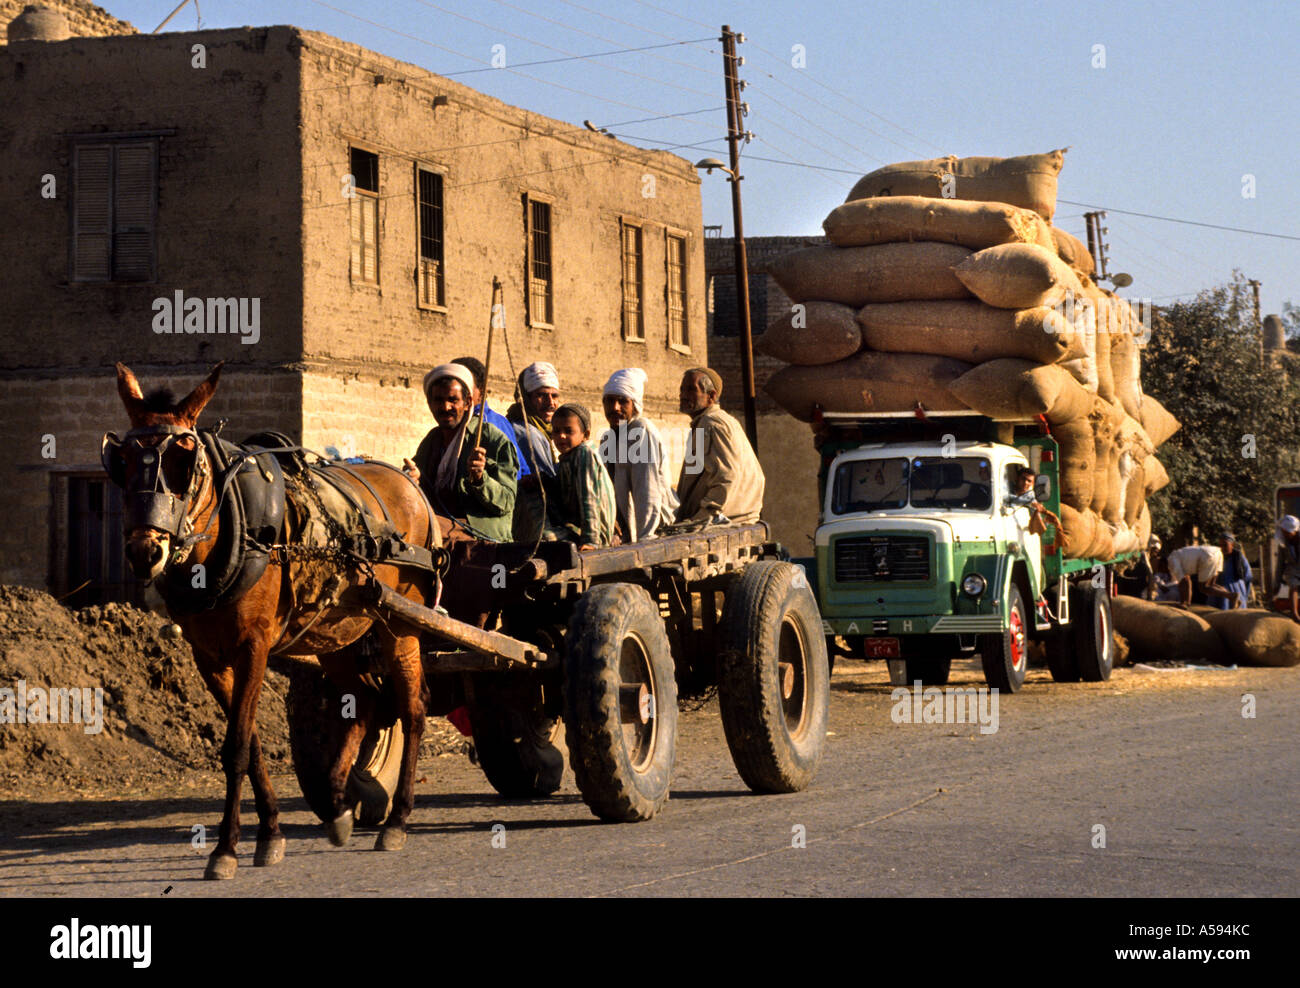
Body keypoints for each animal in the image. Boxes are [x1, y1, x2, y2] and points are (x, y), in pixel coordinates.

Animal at [104, 364, 439, 878]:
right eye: (119, 461)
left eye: (186, 461)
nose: (145, 552)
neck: (230, 535)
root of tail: (406, 481)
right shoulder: (209, 658)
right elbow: (253, 742)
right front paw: (271, 832)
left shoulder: (254, 646)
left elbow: (238, 746)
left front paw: (225, 850)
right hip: (336, 631)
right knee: (364, 700)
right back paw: (338, 807)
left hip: (400, 623)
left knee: (412, 708)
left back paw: (398, 820)